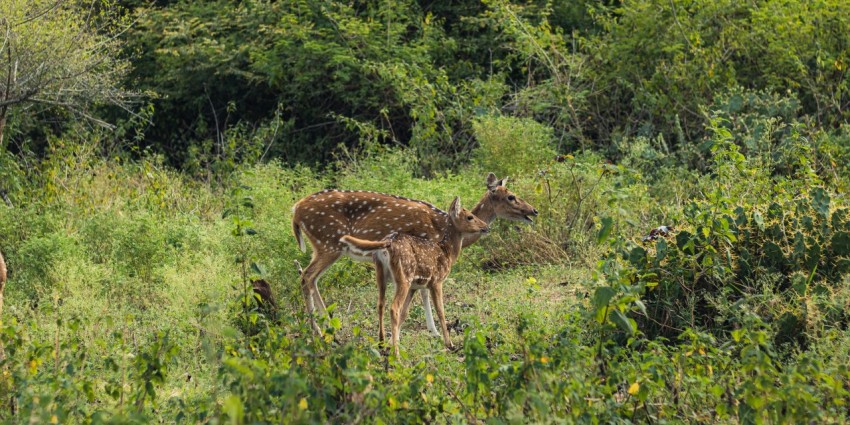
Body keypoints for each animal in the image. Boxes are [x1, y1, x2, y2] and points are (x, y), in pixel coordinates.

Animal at [291, 173, 538, 334]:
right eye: (511, 196)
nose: (534, 210)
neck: (444, 228)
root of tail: (295, 210)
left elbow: (422, 291)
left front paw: (432, 329)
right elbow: (425, 292)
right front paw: (435, 331)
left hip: (325, 246)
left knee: (311, 279)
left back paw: (328, 324)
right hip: (328, 242)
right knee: (306, 277)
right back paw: (317, 330)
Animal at [340, 197, 488, 356]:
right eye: (470, 216)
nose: (486, 227)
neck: (447, 252)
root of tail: (387, 244)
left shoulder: (414, 286)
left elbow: (405, 313)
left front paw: (391, 343)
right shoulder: (436, 281)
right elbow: (441, 311)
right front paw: (449, 344)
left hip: (381, 273)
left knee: (381, 304)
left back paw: (381, 343)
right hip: (403, 276)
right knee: (394, 308)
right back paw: (397, 354)